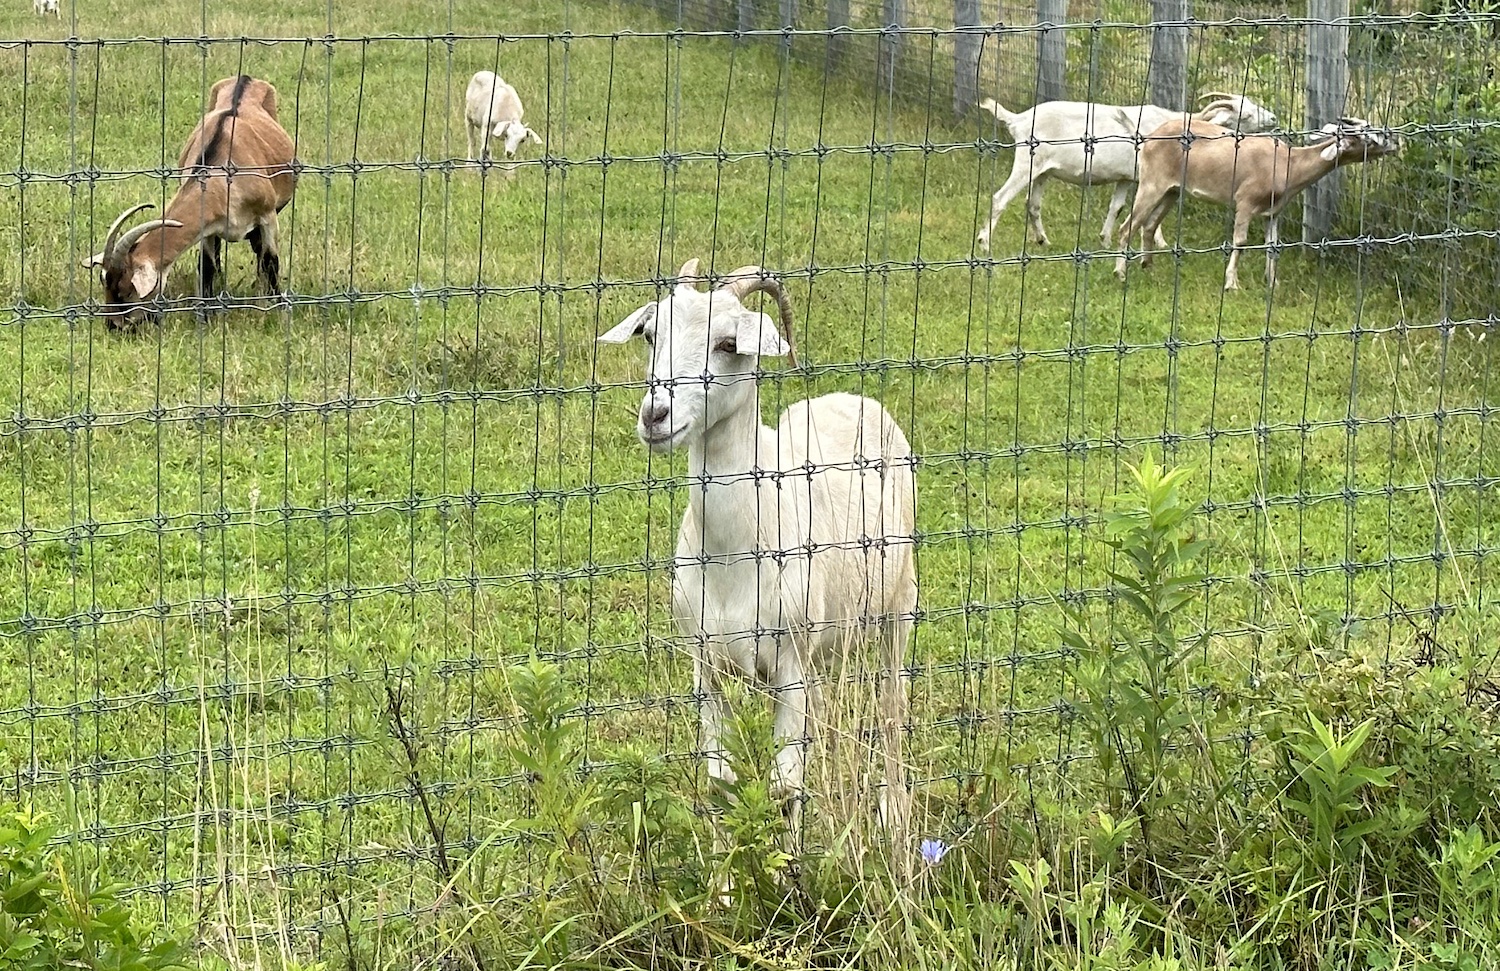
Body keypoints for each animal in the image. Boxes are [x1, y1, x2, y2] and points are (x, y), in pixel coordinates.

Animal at [85, 75, 297, 328]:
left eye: (126, 291)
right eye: (104, 283)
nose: (113, 326)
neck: (223, 177)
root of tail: (245, 77)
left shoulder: (267, 216)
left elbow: (270, 261)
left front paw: (277, 310)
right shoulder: (209, 228)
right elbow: (207, 267)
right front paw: (205, 317)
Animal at [597, 260, 918, 857]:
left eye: (729, 343)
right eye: (651, 334)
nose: (656, 415)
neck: (734, 558)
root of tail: (855, 399)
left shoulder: (790, 665)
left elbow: (785, 787)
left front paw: (789, 874)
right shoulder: (706, 665)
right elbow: (720, 784)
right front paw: (726, 877)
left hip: (900, 605)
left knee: (892, 706)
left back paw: (891, 814)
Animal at [975, 92, 1279, 253]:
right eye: (1244, 114)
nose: (1274, 118)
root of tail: (1019, 119)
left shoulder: (1124, 178)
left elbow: (1116, 208)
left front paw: (1106, 239)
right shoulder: (1151, 178)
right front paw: (1160, 242)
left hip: (1042, 172)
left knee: (1033, 204)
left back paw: (1043, 240)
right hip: (1026, 163)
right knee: (1000, 198)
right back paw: (985, 243)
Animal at [1113, 116, 1401, 290]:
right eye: (1366, 135)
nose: (1396, 141)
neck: (1287, 164)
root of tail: (1149, 138)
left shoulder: (1273, 212)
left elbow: (1273, 246)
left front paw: (1273, 283)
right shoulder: (1245, 201)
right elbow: (1240, 241)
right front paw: (1232, 284)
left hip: (1171, 191)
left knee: (1149, 225)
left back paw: (1148, 266)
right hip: (1152, 183)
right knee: (1127, 226)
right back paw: (1120, 273)